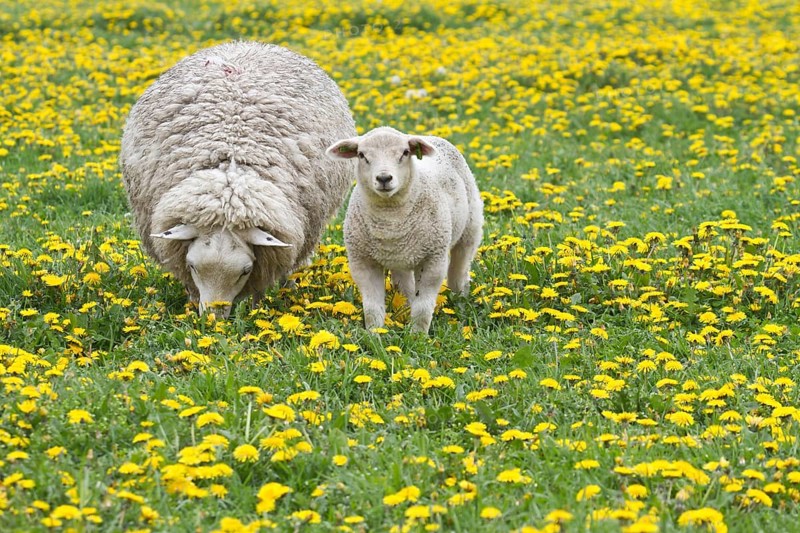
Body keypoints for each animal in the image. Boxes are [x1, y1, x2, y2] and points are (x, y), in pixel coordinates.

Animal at [327, 126, 484, 334]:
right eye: (361, 155)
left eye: (405, 153)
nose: (384, 178)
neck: (391, 220)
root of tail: (429, 136)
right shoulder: (362, 262)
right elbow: (372, 308)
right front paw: (375, 334)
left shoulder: (433, 260)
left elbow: (423, 308)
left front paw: (418, 335)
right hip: (400, 257)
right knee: (405, 286)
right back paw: (404, 309)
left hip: (470, 228)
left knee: (459, 270)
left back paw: (460, 299)